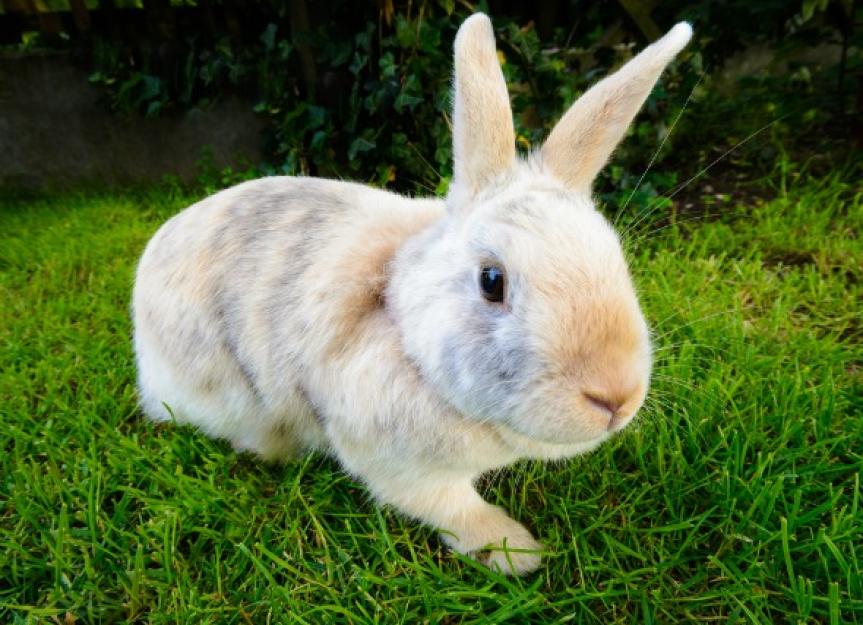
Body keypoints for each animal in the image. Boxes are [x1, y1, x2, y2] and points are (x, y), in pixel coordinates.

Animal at [133, 13, 692, 575]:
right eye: (492, 280)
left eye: (615, 255)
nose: (616, 396)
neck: (404, 333)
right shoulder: (399, 466)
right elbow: (454, 508)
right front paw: (517, 553)